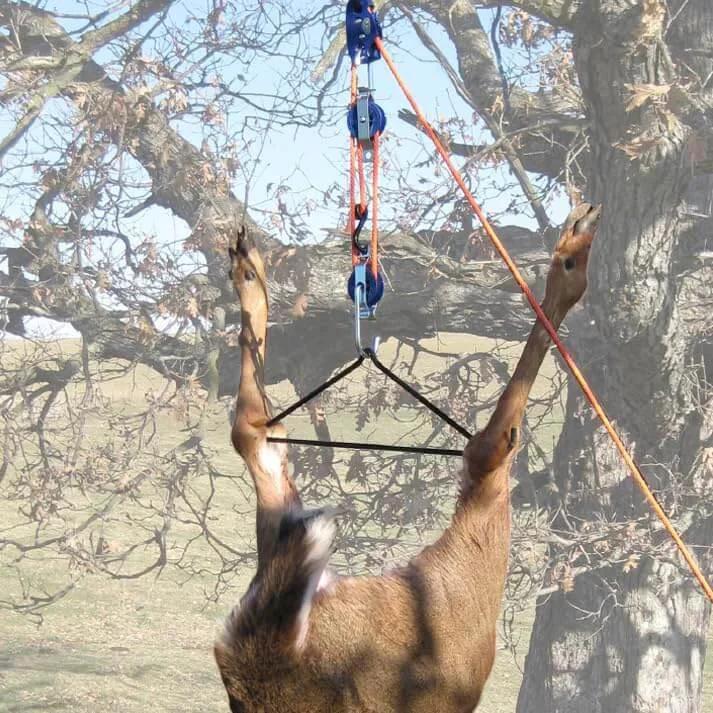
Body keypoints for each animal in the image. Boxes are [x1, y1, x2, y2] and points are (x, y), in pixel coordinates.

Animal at [214, 202, 601, 712]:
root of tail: (270, 656)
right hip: (455, 583)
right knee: (491, 449)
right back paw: (572, 251)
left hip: (287, 541)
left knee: (256, 434)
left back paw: (248, 270)